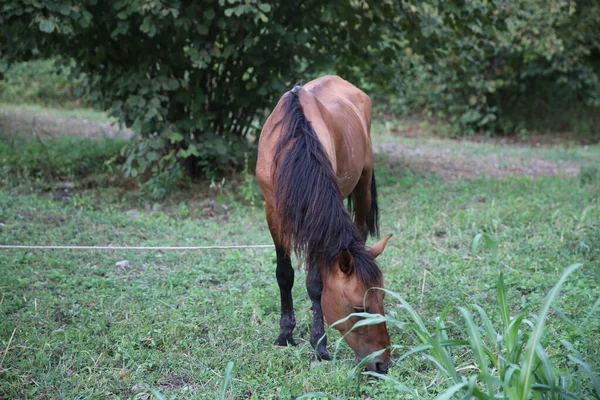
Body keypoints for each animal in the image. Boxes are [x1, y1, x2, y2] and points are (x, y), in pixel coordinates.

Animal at [256, 74, 394, 372]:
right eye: (359, 309)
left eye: (382, 300)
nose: (383, 364)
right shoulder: (273, 213)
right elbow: (284, 275)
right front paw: (285, 335)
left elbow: (315, 283)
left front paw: (319, 346)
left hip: (362, 184)